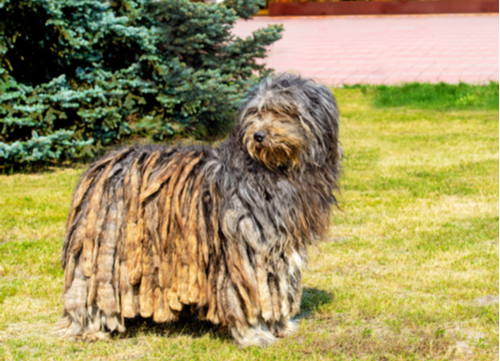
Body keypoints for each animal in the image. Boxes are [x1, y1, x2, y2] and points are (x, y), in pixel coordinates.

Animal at [57, 73, 340, 346]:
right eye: (255, 113)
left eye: (285, 111)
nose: (258, 135)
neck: (273, 170)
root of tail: (102, 165)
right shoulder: (242, 247)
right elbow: (245, 295)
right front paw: (253, 334)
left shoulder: (279, 245)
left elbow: (276, 287)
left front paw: (281, 326)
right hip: (103, 248)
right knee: (87, 288)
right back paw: (88, 329)